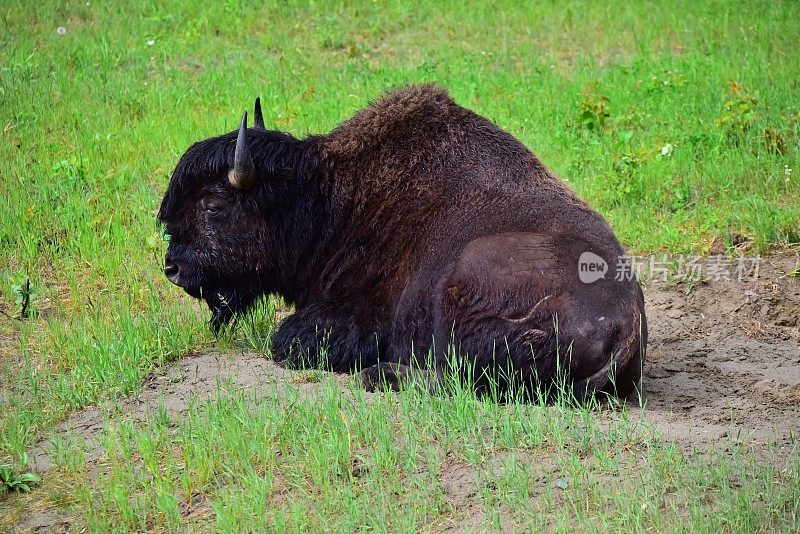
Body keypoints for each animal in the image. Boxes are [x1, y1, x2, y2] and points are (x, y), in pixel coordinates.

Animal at [159, 85, 648, 402]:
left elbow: (287, 341)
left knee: (457, 374)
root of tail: (626, 324)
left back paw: (380, 375)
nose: (173, 268)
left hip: (464, 282)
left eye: (214, 205)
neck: (329, 198)